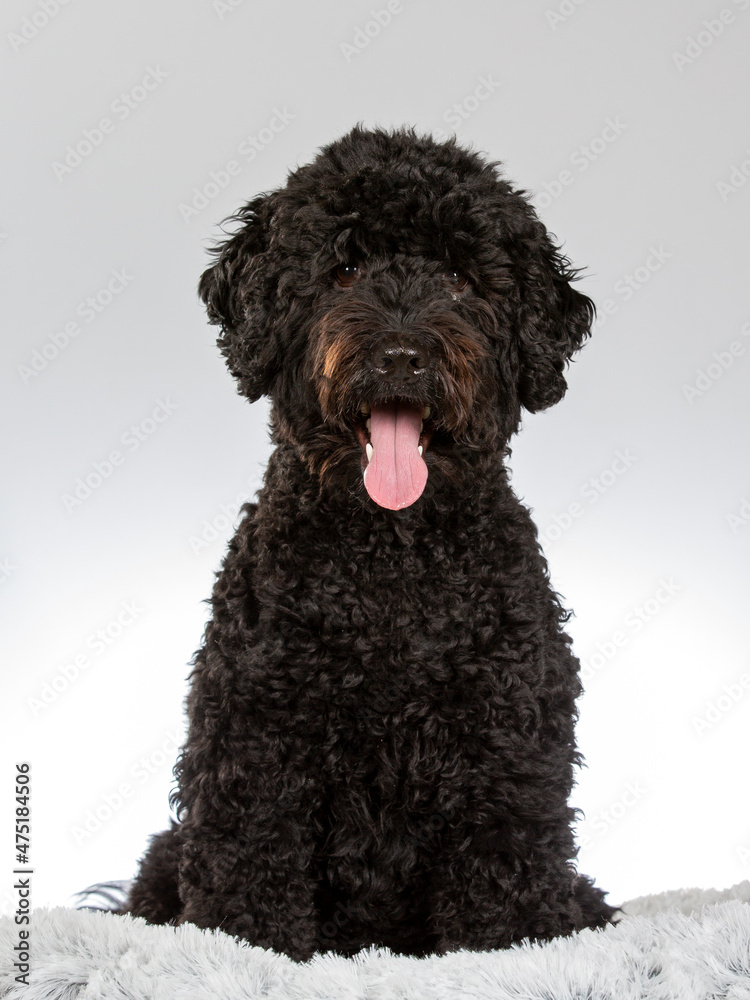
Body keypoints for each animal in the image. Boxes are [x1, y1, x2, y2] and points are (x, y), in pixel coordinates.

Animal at [125, 127, 616, 960]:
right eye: (343, 268)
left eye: (459, 276)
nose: (401, 355)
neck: (390, 567)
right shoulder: (255, 740)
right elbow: (250, 875)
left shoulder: (507, 747)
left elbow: (503, 895)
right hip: (167, 853)